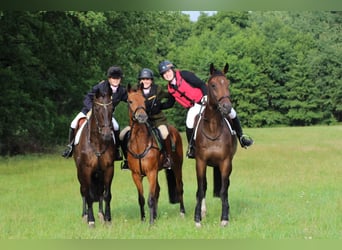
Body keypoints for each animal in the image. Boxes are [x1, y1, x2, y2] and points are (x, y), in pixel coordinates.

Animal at [73, 87, 115, 228]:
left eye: (112, 108)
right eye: (96, 109)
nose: (107, 135)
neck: (97, 142)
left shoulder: (108, 169)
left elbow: (107, 195)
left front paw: (107, 219)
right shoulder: (86, 170)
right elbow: (89, 196)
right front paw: (91, 221)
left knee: (100, 192)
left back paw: (101, 214)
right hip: (80, 173)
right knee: (84, 192)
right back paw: (85, 215)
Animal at [125, 84, 186, 225]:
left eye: (144, 101)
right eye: (130, 101)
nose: (142, 117)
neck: (139, 143)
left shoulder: (151, 172)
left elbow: (151, 198)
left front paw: (151, 222)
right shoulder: (136, 175)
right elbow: (141, 199)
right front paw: (143, 220)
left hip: (177, 167)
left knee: (179, 187)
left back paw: (182, 212)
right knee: (158, 190)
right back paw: (156, 215)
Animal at [192, 62, 238, 227]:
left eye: (228, 84)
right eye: (213, 85)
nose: (227, 107)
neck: (212, 129)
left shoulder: (225, 162)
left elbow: (223, 190)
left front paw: (224, 218)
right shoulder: (201, 162)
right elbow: (201, 188)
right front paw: (198, 218)